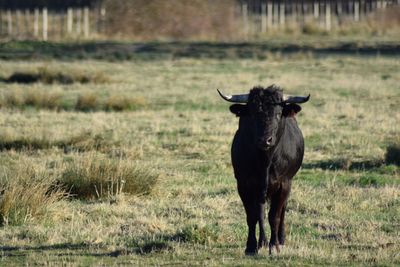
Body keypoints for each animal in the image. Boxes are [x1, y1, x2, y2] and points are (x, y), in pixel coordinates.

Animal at [219, 85, 310, 255]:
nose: (265, 140)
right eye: (253, 113)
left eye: (278, 114)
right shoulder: (244, 184)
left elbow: (274, 216)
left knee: (282, 210)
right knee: (260, 212)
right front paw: (251, 246)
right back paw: (262, 241)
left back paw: (280, 239)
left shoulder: (284, 184)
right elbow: (252, 216)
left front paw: (274, 246)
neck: (265, 161)